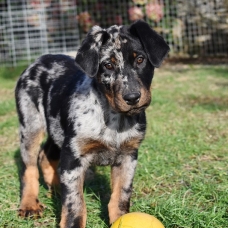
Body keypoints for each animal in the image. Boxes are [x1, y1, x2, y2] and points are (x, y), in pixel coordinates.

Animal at [15, 20, 169, 227]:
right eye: (108, 65)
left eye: (140, 59)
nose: (132, 98)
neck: (115, 120)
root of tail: (40, 59)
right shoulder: (73, 157)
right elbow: (75, 203)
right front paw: (72, 222)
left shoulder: (128, 156)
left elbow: (121, 196)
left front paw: (120, 219)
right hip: (31, 125)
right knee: (29, 167)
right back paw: (30, 205)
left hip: (56, 128)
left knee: (46, 155)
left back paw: (56, 188)